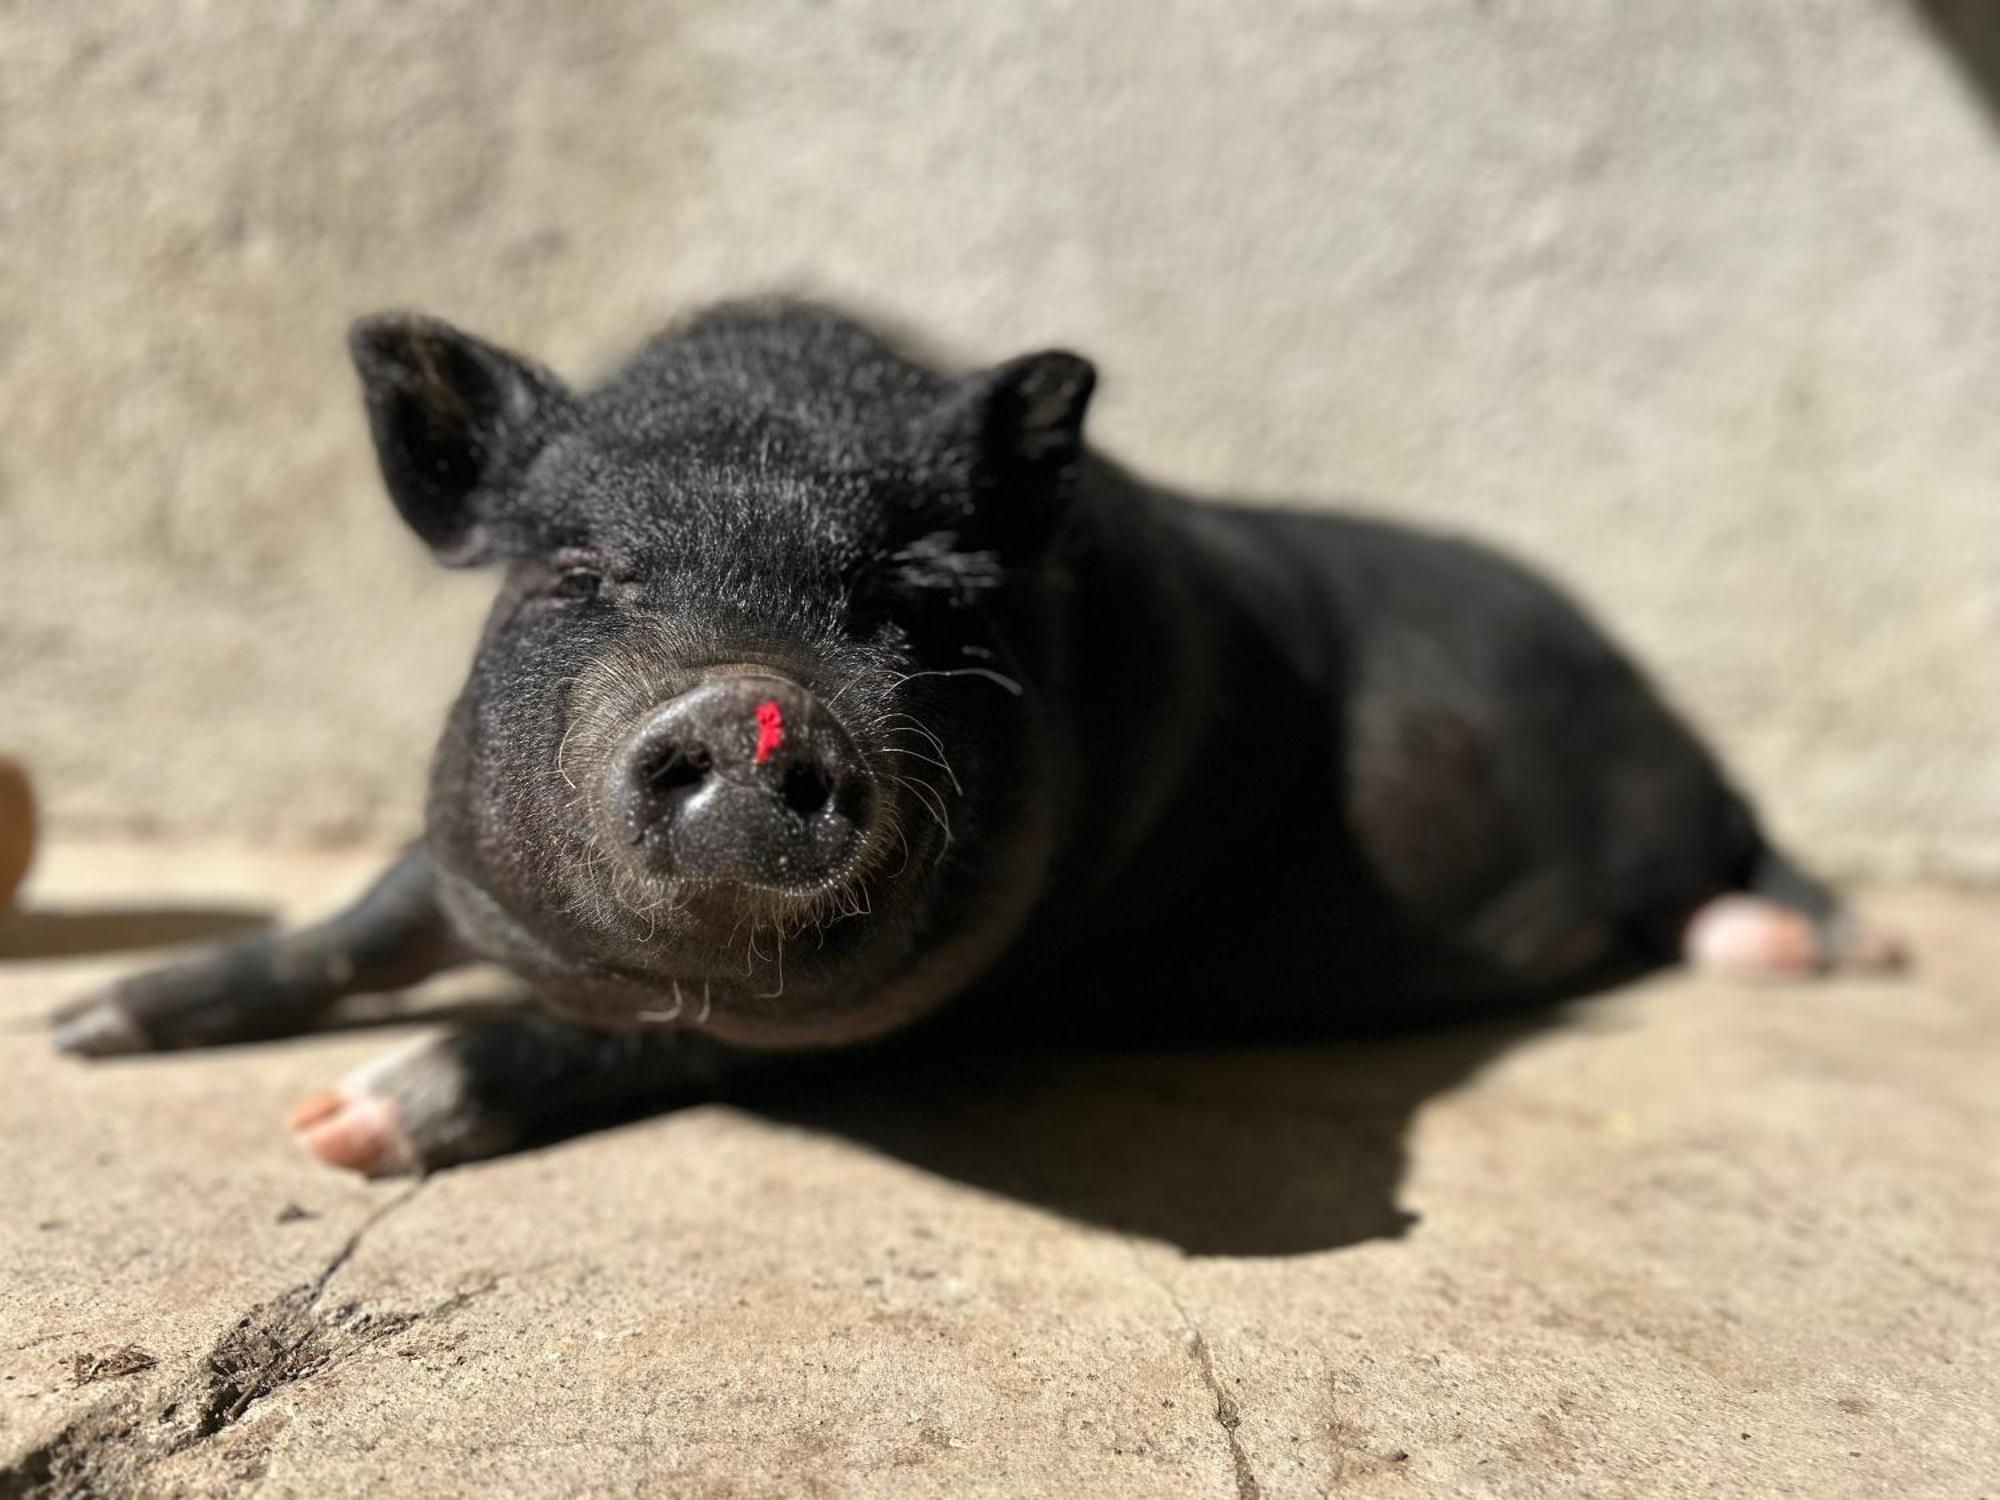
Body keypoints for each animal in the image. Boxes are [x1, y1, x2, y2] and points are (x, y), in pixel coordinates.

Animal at [54, 302, 1904, 1176]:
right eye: (576, 572)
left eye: (913, 600)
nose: (750, 701)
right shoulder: (451, 867)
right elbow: (359, 919)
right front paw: (87, 1031)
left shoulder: (929, 994)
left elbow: (613, 1046)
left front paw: (347, 1127)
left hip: (1677, 779)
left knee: (1753, 842)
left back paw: (1833, 953)